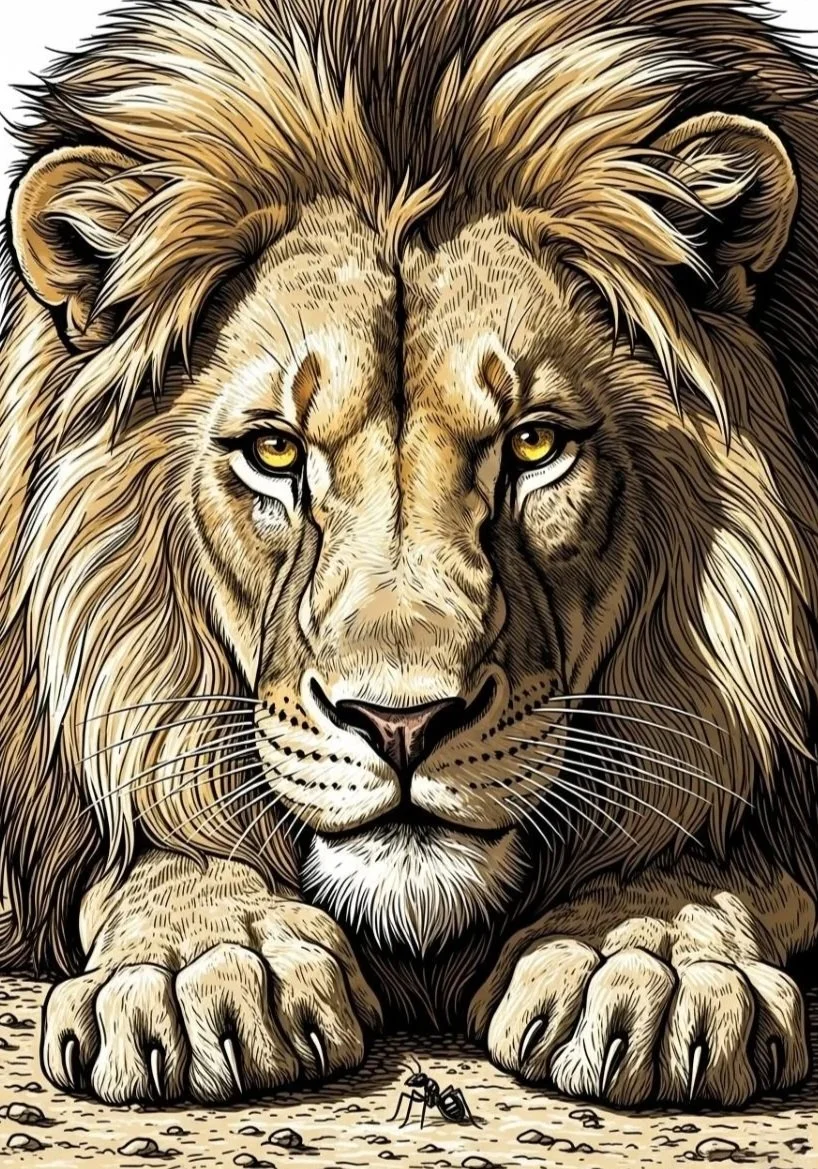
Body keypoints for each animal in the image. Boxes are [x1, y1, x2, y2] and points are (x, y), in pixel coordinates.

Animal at [1, 0, 817, 1109]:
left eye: (533, 443)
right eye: (274, 451)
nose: (401, 724)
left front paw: (644, 948)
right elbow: (157, 843)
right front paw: (203, 957)